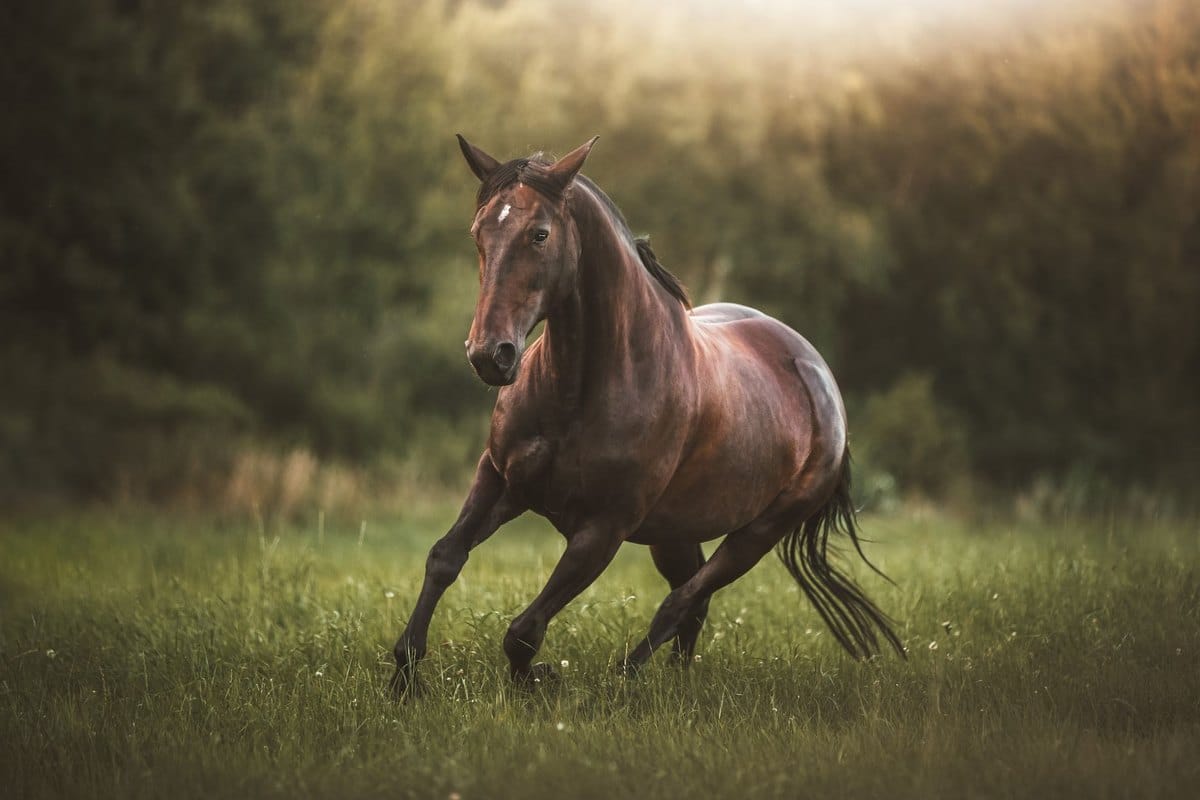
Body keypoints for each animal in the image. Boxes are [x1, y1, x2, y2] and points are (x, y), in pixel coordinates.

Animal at [390, 135, 903, 696]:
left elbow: (524, 631)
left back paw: (627, 681)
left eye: (540, 234)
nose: (490, 355)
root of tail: (819, 376)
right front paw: (405, 675)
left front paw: (539, 681)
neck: (579, 389)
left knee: (682, 602)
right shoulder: (501, 479)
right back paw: (674, 682)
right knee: (690, 606)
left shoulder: (604, 528)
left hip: (757, 534)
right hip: (674, 533)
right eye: (479, 232)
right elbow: (445, 557)